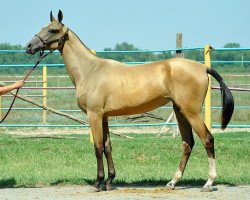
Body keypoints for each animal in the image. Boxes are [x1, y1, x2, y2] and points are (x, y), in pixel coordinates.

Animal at [26, 9, 233, 192]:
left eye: (52, 30)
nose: (29, 46)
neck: (90, 70)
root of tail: (202, 68)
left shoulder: (94, 116)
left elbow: (98, 147)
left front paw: (98, 183)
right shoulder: (104, 117)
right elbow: (108, 147)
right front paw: (110, 181)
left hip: (191, 112)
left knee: (207, 139)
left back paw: (208, 183)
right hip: (180, 111)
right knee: (187, 143)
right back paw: (172, 182)